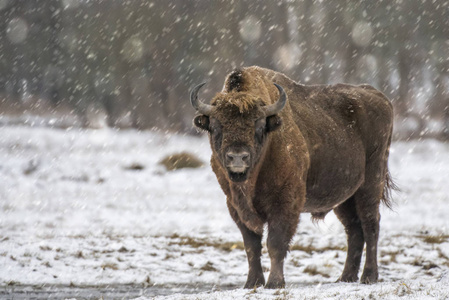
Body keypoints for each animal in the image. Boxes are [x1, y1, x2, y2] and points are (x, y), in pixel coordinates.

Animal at [189, 66, 392, 288]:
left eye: (258, 126)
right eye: (216, 126)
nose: (237, 157)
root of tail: (380, 97)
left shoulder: (285, 203)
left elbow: (275, 243)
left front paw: (275, 283)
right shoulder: (235, 207)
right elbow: (251, 246)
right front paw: (252, 283)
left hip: (370, 184)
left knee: (371, 225)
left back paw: (369, 276)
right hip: (345, 197)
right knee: (354, 230)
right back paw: (345, 277)